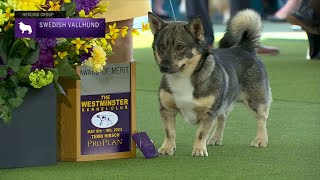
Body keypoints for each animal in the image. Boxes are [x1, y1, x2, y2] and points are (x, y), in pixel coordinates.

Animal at [149, 9, 272, 157]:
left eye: (180, 46)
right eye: (161, 46)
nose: (164, 67)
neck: (183, 78)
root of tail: (245, 48)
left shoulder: (208, 112)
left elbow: (201, 133)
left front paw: (199, 149)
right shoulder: (167, 110)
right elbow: (170, 132)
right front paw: (167, 148)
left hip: (256, 102)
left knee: (262, 119)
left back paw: (260, 140)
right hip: (223, 103)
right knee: (222, 117)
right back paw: (216, 138)